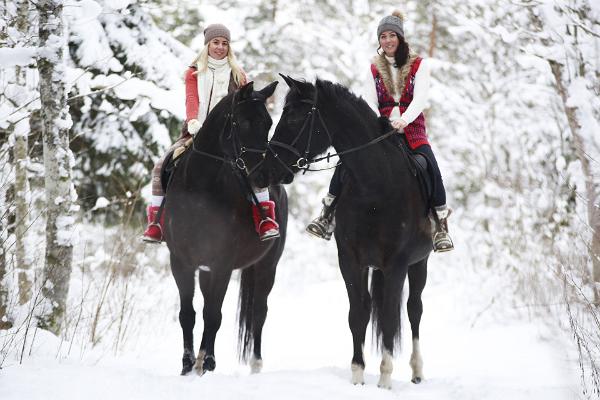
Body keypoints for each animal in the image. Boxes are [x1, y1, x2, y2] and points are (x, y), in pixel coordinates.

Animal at [163, 81, 288, 376]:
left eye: (268, 123)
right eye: (242, 123)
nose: (265, 174)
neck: (200, 192)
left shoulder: (222, 265)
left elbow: (213, 315)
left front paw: (206, 362)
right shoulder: (181, 262)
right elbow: (188, 315)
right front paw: (187, 363)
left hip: (267, 266)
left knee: (258, 312)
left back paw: (255, 363)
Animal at [256, 76, 432, 390]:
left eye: (294, 117)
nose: (267, 170)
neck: (374, 186)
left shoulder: (397, 264)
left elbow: (390, 316)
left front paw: (385, 377)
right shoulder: (350, 260)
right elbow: (358, 313)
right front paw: (358, 374)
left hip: (419, 263)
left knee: (414, 310)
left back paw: (416, 370)